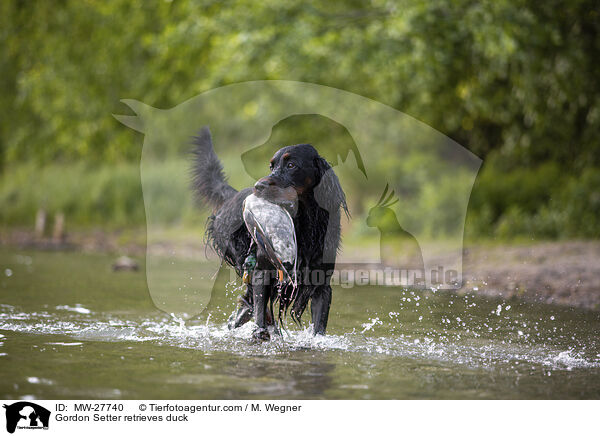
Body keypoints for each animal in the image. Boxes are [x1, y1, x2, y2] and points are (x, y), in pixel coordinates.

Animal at [192, 127, 346, 340]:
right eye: (271, 166)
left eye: (291, 165)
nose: (258, 186)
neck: (304, 225)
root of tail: (233, 197)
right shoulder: (262, 269)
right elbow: (260, 306)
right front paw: (261, 331)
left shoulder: (321, 283)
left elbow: (319, 325)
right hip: (241, 255)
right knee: (253, 301)